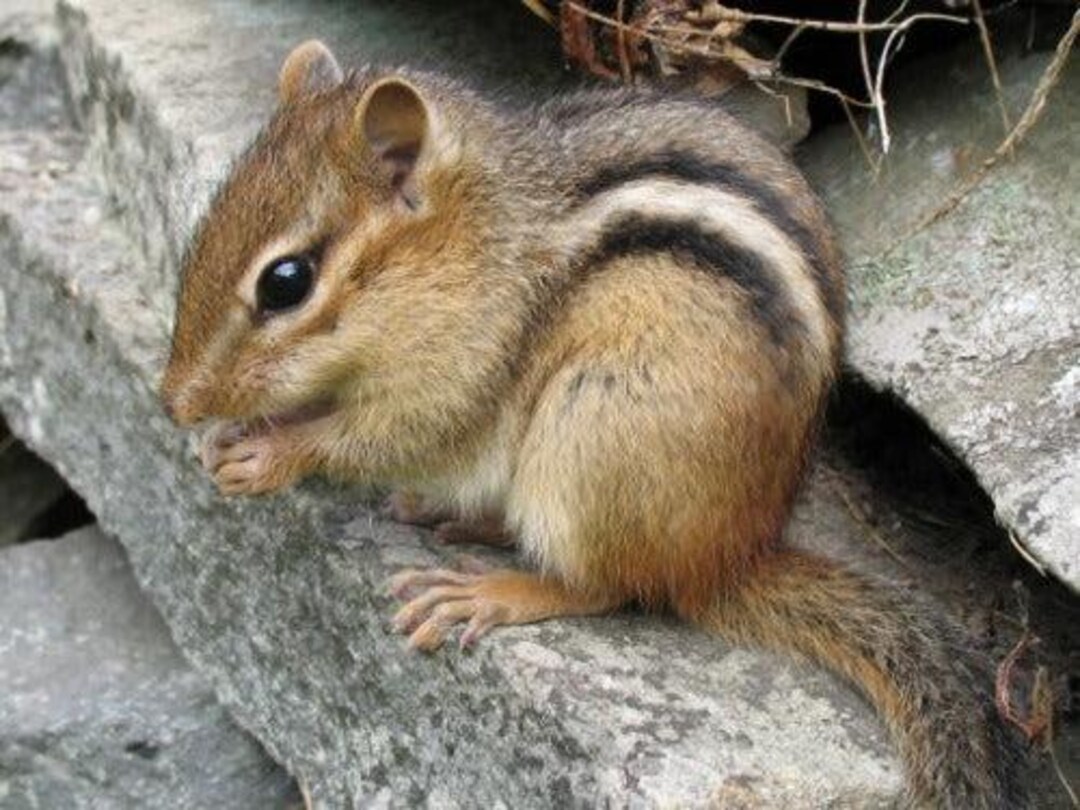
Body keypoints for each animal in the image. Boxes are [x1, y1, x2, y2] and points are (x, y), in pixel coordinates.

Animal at [160, 40, 1025, 808]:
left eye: (287, 281)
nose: (174, 402)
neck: (472, 240)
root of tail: (731, 554)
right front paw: (229, 438)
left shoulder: (464, 365)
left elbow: (398, 435)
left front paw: (274, 450)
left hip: (592, 432)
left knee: (611, 586)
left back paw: (498, 590)